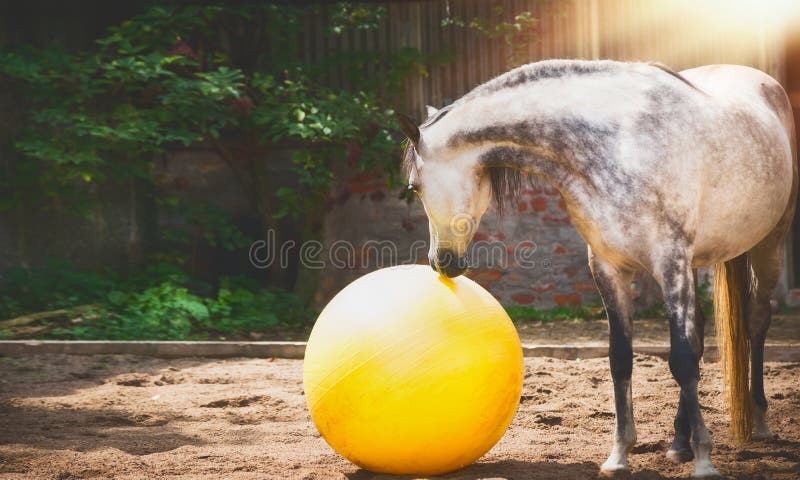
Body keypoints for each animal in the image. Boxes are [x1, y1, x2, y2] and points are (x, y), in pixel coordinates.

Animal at [400, 59, 792, 476]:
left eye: (414, 186)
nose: (440, 262)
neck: (619, 144)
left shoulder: (670, 260)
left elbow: (683, 360)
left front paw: (704, 460)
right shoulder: (608, 267)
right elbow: (621, 359)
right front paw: (619, 456)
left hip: (768, 245)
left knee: (755, 321)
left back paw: (758, 421)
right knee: (700, 334)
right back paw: (678, 442)